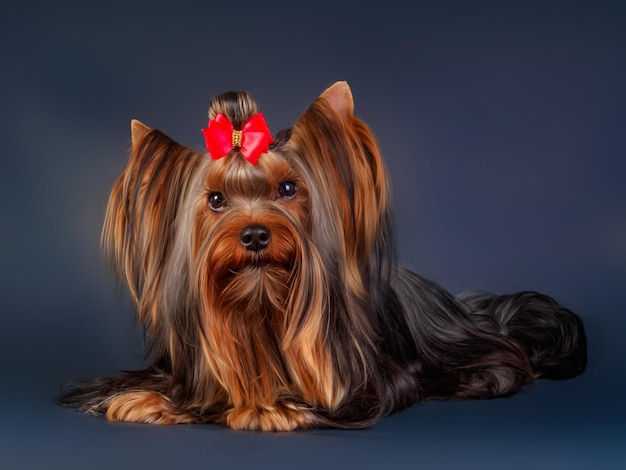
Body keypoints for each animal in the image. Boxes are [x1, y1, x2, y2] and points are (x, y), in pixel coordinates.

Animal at [58, 81, 584, 430]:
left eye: (289, 189)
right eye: (216, 201)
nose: (254, 234)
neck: (260, 312)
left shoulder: (371, 388)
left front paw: (268, 406)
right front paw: (151, 399)